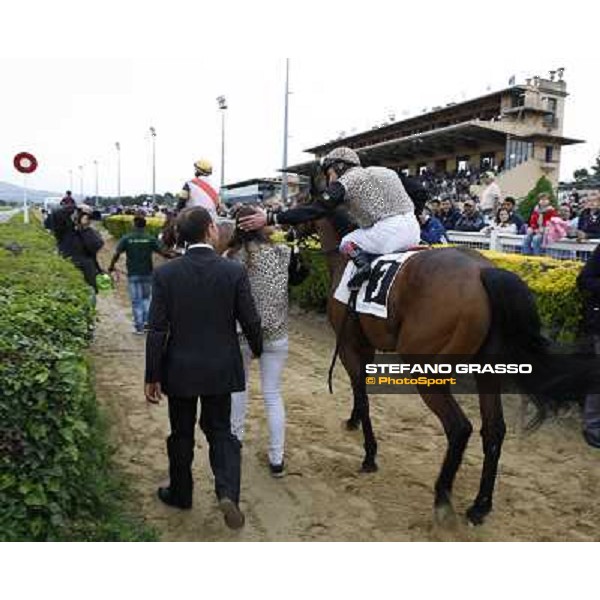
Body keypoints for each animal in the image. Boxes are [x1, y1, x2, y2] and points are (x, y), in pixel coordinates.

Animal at [290, 169, 596, 524]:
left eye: (300, 201)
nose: (286, 229)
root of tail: (484, 271)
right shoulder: (363, 349)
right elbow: (359, 393)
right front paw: (353, 422)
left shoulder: (352, 346)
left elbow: (364, 398)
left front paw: (369, 455)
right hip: (487, 369)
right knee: (494, 430)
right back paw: (480, 506)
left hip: (425, 368)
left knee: (459, 427)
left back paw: (442, 495)